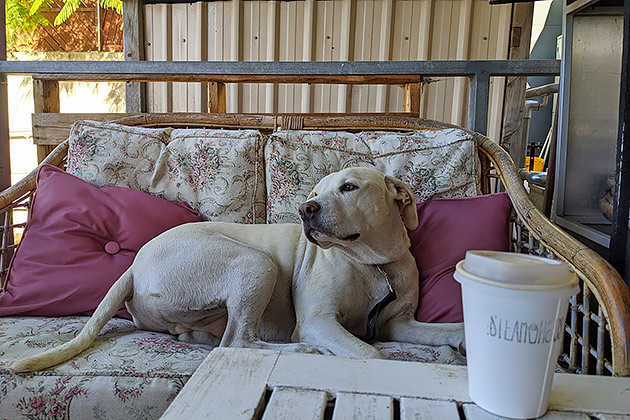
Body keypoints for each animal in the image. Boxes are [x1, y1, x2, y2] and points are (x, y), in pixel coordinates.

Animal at [8, 166, 464, 372]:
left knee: (219, 339)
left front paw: (458, 342)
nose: (306, 210)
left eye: (349, 187)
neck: (372, 263)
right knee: (238, 342)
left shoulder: (401, 324)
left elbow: (443, 331)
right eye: (313, 193)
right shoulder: (319, 322)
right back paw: (299, 352)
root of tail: (135, 266)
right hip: (254, 262)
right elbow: (371, 353)